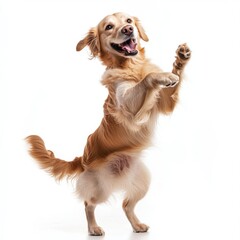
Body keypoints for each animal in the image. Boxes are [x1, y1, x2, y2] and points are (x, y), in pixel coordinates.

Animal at [25, 12, 191, 235]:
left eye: (128, 21)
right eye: (109, 27)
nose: (128, 30)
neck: (130, 65)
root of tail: (82, 160)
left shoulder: (164, 104)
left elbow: (171, 85)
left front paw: (181, 59)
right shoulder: (129, 108)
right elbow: (148, 79)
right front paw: (162, 75)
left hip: (143, 180)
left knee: (126, 204)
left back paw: (137, 225)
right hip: (100, 187)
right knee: (88, 204)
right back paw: (94, 228)